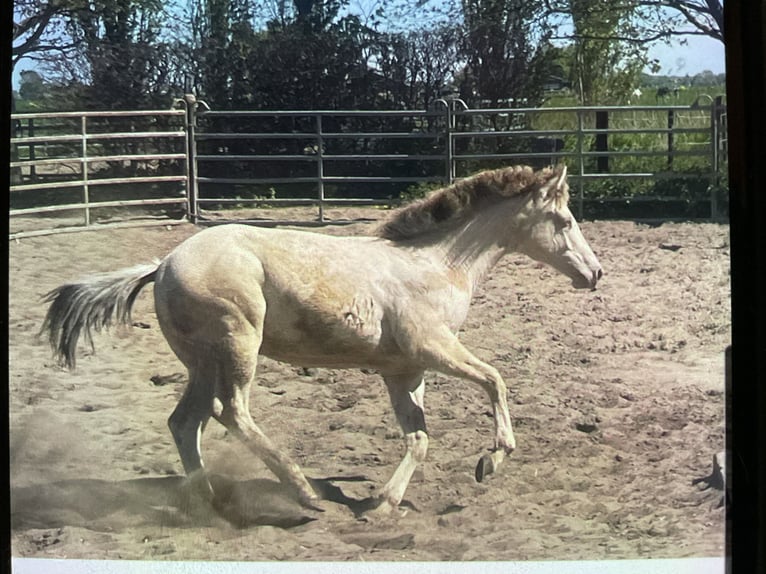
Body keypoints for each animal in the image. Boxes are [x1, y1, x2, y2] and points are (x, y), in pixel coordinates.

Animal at [42, 164, 602, 518]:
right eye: (565, 220)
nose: (595, 273)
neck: (436, 265)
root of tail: (162, 265)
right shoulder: (432, 349)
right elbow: (495, 380)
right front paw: (492, 459)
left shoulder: (404, 370)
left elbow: (419, 438)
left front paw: (384, 503)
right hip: (237, 344)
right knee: (232, 412)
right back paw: (304, 494)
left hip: (201, 360)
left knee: (185, 423)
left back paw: (213, 501)